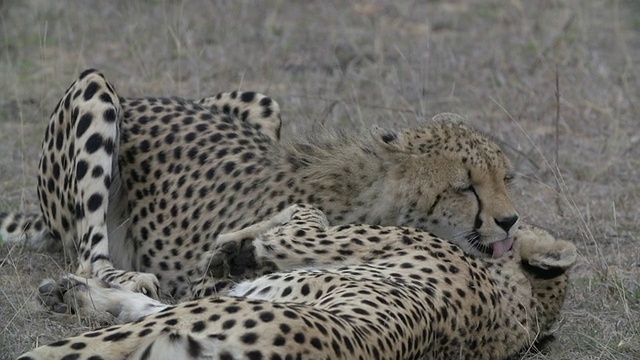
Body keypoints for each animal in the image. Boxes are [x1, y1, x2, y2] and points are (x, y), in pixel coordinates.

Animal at [1, 69, 520, 300]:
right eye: (465, 187)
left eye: (505, 178)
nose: (511, 221)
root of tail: (139, 98)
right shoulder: (207, 289)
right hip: (94, 90)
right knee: (89, 260)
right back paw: (129, 278)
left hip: (262, 102)